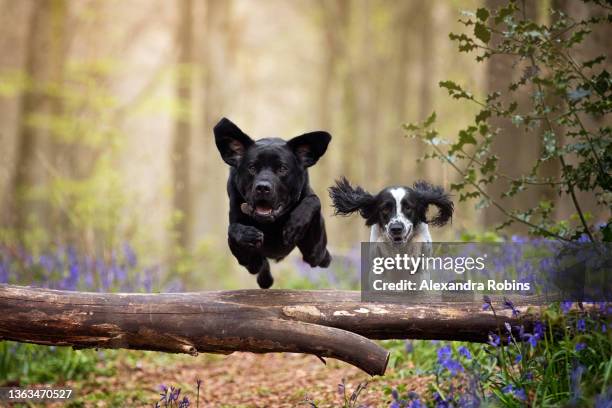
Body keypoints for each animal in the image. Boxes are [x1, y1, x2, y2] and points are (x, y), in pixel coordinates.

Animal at [213, 118, 332, 288]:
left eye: (282, 168)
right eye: (252, 167)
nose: (263, 188)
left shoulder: (314, 249)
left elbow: (314, 199)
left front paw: (295, 224)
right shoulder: (246, 259)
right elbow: (233, 230)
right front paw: (247, 234)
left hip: (317, 255)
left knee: (323, 258)